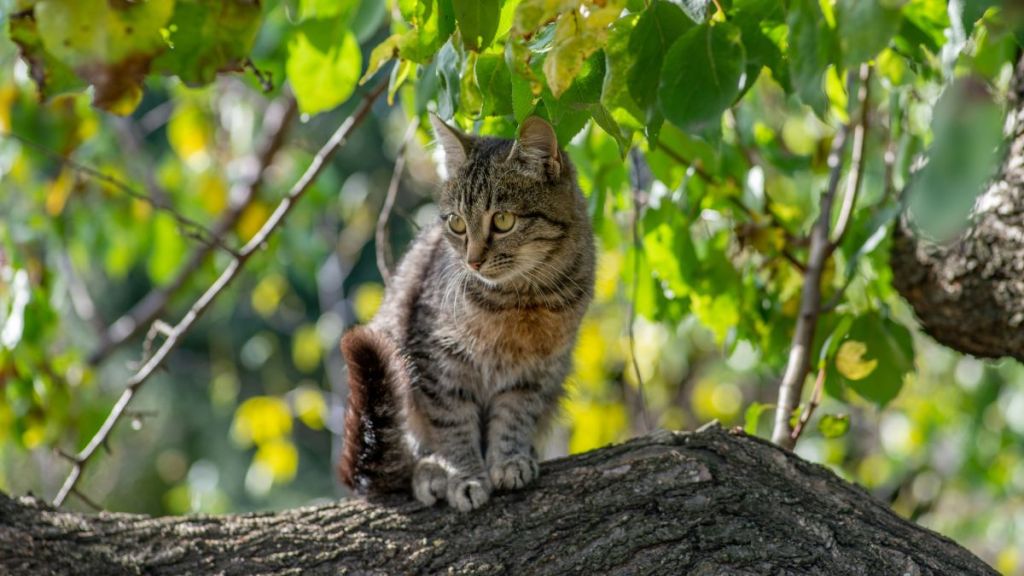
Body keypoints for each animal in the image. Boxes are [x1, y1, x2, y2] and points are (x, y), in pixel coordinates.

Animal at [337, 114, 593, 508]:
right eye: (456, 223)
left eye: (502, 220)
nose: (472, 261)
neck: (522, 299)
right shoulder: (438, 363)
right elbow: (453, 426)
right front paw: (465, 475)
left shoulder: (538, 372)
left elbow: (515, 416)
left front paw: (509, 459)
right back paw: (429, 471)